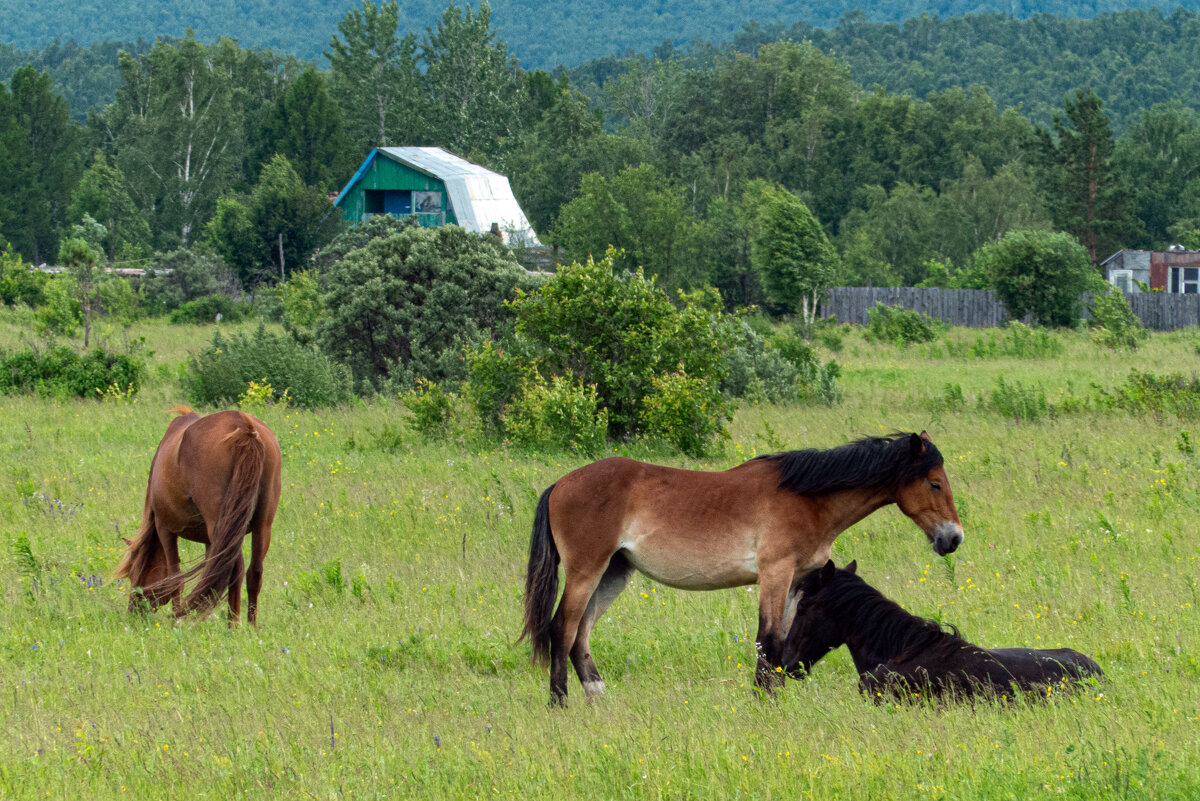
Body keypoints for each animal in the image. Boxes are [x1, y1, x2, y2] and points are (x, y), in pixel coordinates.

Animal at [114, 407, 283, 623]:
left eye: (133, 573)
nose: (134, 612)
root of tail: (243, 427)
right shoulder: (210, 541)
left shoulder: (165, 529)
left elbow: (175, 580)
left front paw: (178, 619)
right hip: (262, 525)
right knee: (253, 573)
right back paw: (249, 626)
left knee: (233, 570)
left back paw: (233, 625)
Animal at [520, 431, 960, 705]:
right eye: (935, 483)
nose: (953, 538)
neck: (808, 499)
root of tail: (560, 485)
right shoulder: (775, 574)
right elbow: (769, 640)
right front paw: (763, 701)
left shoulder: (797, 581)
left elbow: (785, 642)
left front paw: (775, 696)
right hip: (586, 571)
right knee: (563, 628)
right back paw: (559, 703)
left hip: (613, 573)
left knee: (581, 634)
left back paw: (598, 697)